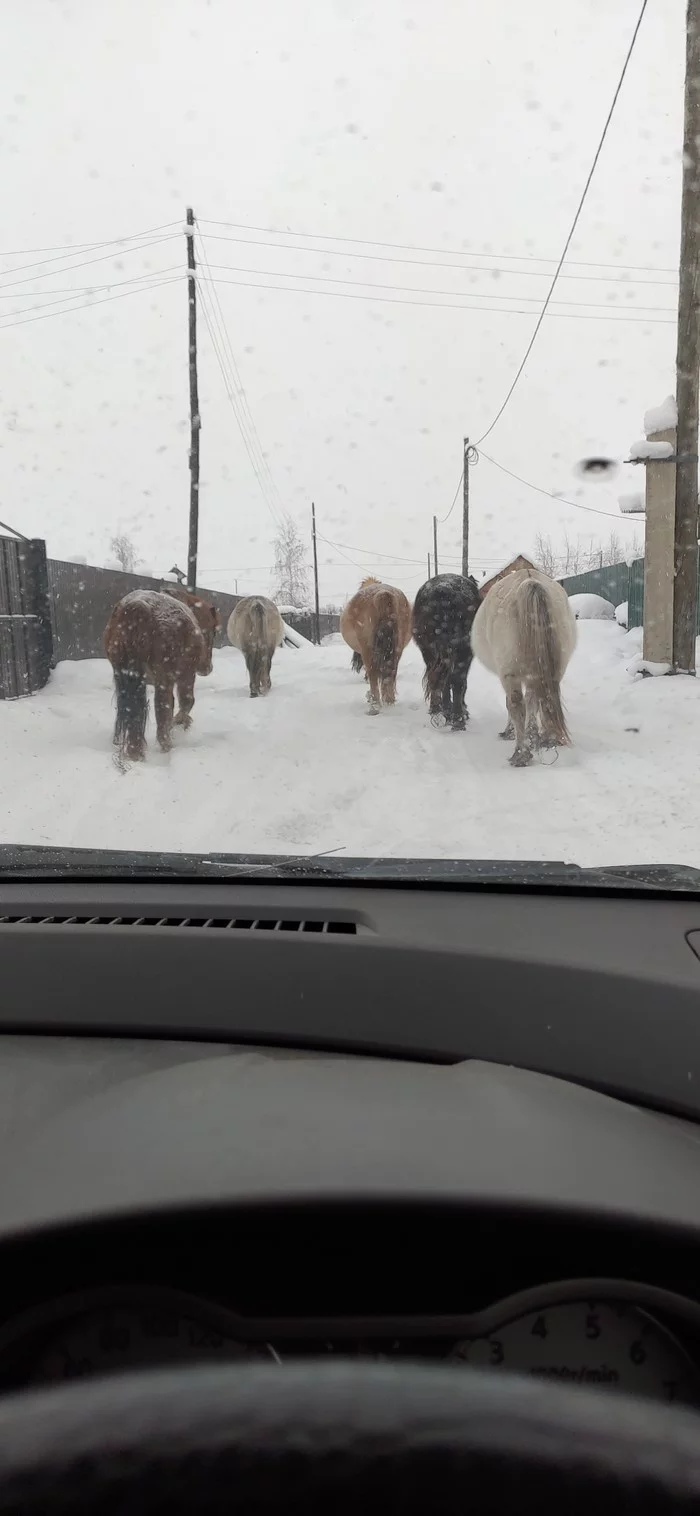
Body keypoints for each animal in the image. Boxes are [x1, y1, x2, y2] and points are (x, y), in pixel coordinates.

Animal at [102, 585, 216, 764]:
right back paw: (166, 746)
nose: (207, 668)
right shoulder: (186, 675)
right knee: (162, 710)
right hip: (165, 679)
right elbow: (186, 702)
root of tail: (138, 607)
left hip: (123, 674)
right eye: (214, 630)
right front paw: (180, 723)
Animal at [339, 576, 409, 712]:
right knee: (390, 673)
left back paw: (374, 703)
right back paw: (389, 702)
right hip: (397, 650)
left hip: (367, 649)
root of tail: (384, 594)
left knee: (373, 674)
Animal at [409, 570, 481, 730]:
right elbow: (461, 682)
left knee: (436, 678)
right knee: (456, 679)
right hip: (462, 650)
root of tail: (442, 591)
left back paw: (439, 710)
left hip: (429, 650)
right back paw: (458, 719)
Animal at [469, 563, 572, 764]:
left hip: (510, 673)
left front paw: (510, 732)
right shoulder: (532, 675)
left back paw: (521, 753)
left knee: (516, 704)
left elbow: (512, 704)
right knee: (542, 699)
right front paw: (532, 734)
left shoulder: (508, 674)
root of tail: (529, 580)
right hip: (553, 669)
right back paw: (545, 738)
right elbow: (532, 701)